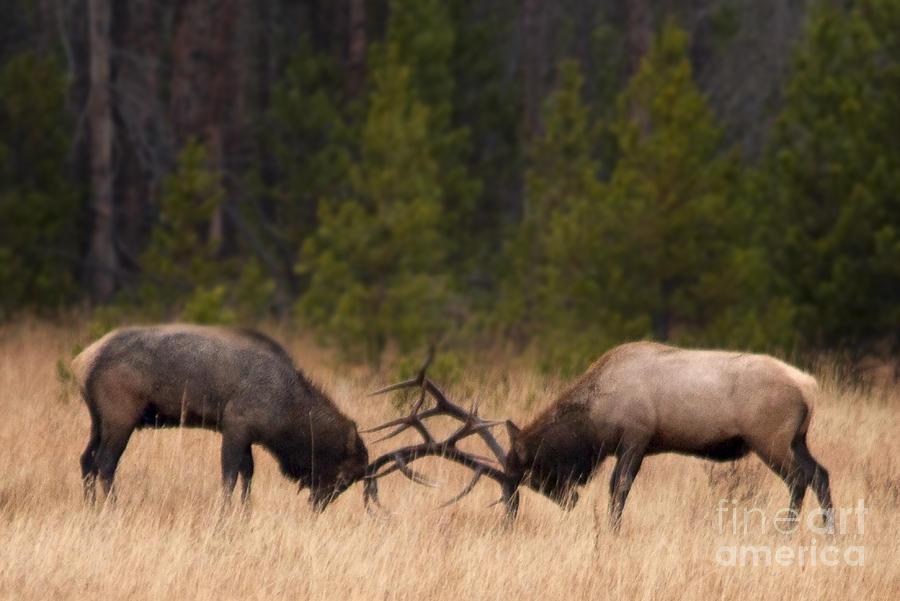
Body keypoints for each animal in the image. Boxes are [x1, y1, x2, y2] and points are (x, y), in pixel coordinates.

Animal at [71, 324, 380, 510]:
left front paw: (244, 514)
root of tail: (82, 362)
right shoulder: (236, 426)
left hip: (98, 420)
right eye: (344, 477)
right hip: (120, 417)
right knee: (105, 463)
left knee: (87, 459)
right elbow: (230, 476)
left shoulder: (245, 436)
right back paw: (112, 508)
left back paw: (91, 508)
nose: (318, 505)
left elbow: (247, 474)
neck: (287, 409)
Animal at [366, 342, 836, 528]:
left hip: (770, 438)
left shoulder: (635, 437)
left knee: (800, 478)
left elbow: (618, 488)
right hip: (798, 438)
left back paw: (785, 530)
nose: (510, 514)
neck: (594, 421)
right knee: (821, 473)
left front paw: (611, 532)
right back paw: (829, 531)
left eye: (527, 475)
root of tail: (810, 387)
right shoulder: (637, 443)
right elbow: (619, 489)